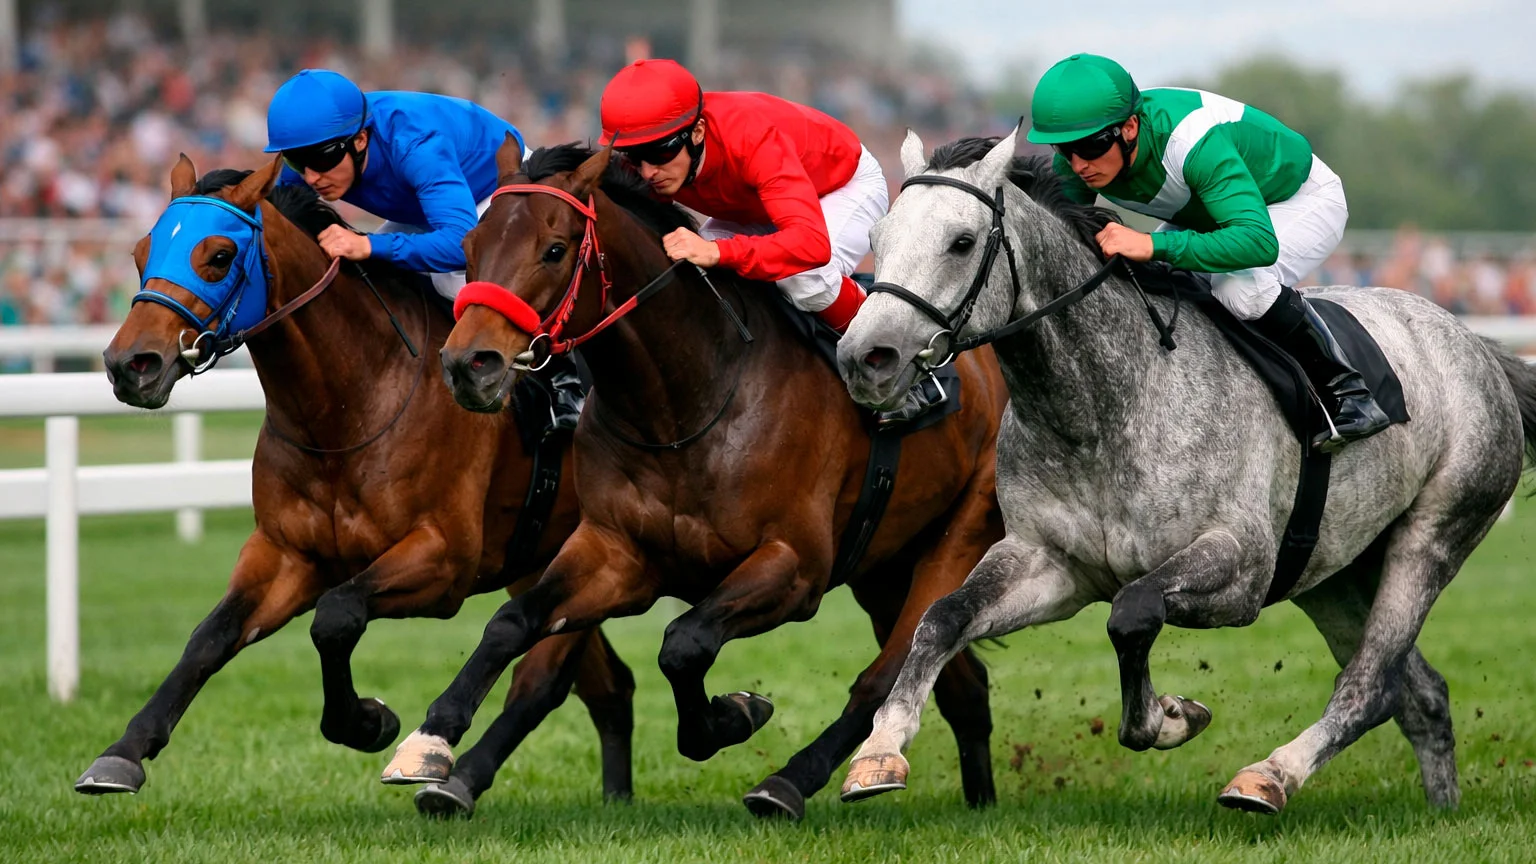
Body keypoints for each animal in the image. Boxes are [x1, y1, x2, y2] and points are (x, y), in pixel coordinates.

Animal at [76, 156, 636, 803]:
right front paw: (122, 752)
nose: (129, 365)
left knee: (542, 679)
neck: (347, 408)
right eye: (142, 252)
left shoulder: (443, 560)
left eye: (218, 255)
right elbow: (209, 637)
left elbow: (337, 616)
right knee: (607, 684)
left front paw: (370, 721)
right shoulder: (287, 554)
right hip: (550, 561)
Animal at [375, 141, 1011, 821]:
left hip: (958, 537)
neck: (684, 404)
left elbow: (683, 642)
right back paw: (975, 797)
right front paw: (428, 742)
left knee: (887, 672)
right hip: (885, 563)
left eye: (554, 249)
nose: (468, 364)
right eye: (468, 247)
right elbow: (511, 622)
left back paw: (790, 782)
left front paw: (734, 714)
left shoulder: (795, 566)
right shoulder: (617, 553)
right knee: (957, 681)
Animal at [834, 131, 1536, 814]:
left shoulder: (1242, 565)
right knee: (1419, 693)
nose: (865, 358)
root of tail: (1477, 345)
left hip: (1431, 535)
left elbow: (1132, 612)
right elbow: (942, 618)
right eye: (878, 237)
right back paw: (1440, 809)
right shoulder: (1050, 562)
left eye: (962, 241)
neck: (1102, 408)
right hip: (1335, 572)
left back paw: (1269, 776)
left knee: (1371, 685)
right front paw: (879, 751)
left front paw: (1170, 717)